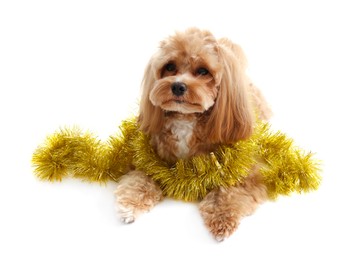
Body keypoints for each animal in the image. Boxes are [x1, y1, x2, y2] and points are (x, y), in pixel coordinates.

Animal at [113, 27, 272, 241]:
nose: (177, 86)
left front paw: (222, 218)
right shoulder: (152, 161)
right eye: (170, 67)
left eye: (203, 71)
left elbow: (228, 191)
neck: (186, 119)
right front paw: (130, 204)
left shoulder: (246, 175)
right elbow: (140, 179)